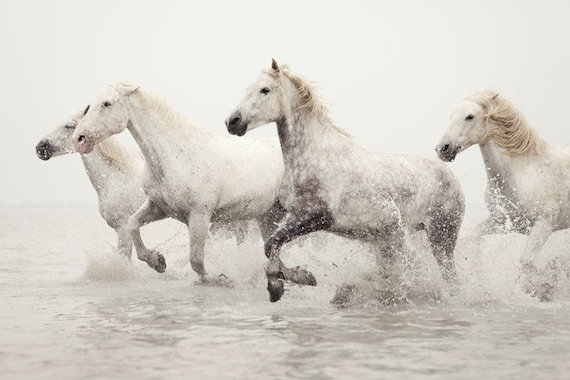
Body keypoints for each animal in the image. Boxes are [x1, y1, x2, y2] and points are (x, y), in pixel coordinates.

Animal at [72, 83, 284, 284]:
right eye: (89, 106)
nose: (79, 139)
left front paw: (217, 279)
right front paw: (157, 261)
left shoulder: (199, 215)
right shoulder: (159, 208)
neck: (177, 156)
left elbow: (196, 259)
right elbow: (132, 224)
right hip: (267, 217)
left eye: (107, 103)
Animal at [224, 59, 464, 302]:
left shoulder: (318, 216)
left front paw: (277, 285)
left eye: (265, 90)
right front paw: (301, 277)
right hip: (390, 240)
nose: (232, 122)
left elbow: (273, 242)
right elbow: (270, 245)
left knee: (448, 276)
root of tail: (450, 175)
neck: (314, 154)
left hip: (441, 237)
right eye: (248, 88)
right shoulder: (294, 214)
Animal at [434, 90, 568, 298]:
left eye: (470, 116)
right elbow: (474, 237)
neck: (521, 174)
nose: (443, 149)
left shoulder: (543, 226)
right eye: (451, 116)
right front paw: (480, 282)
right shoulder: (503, 221)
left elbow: (526, 262)